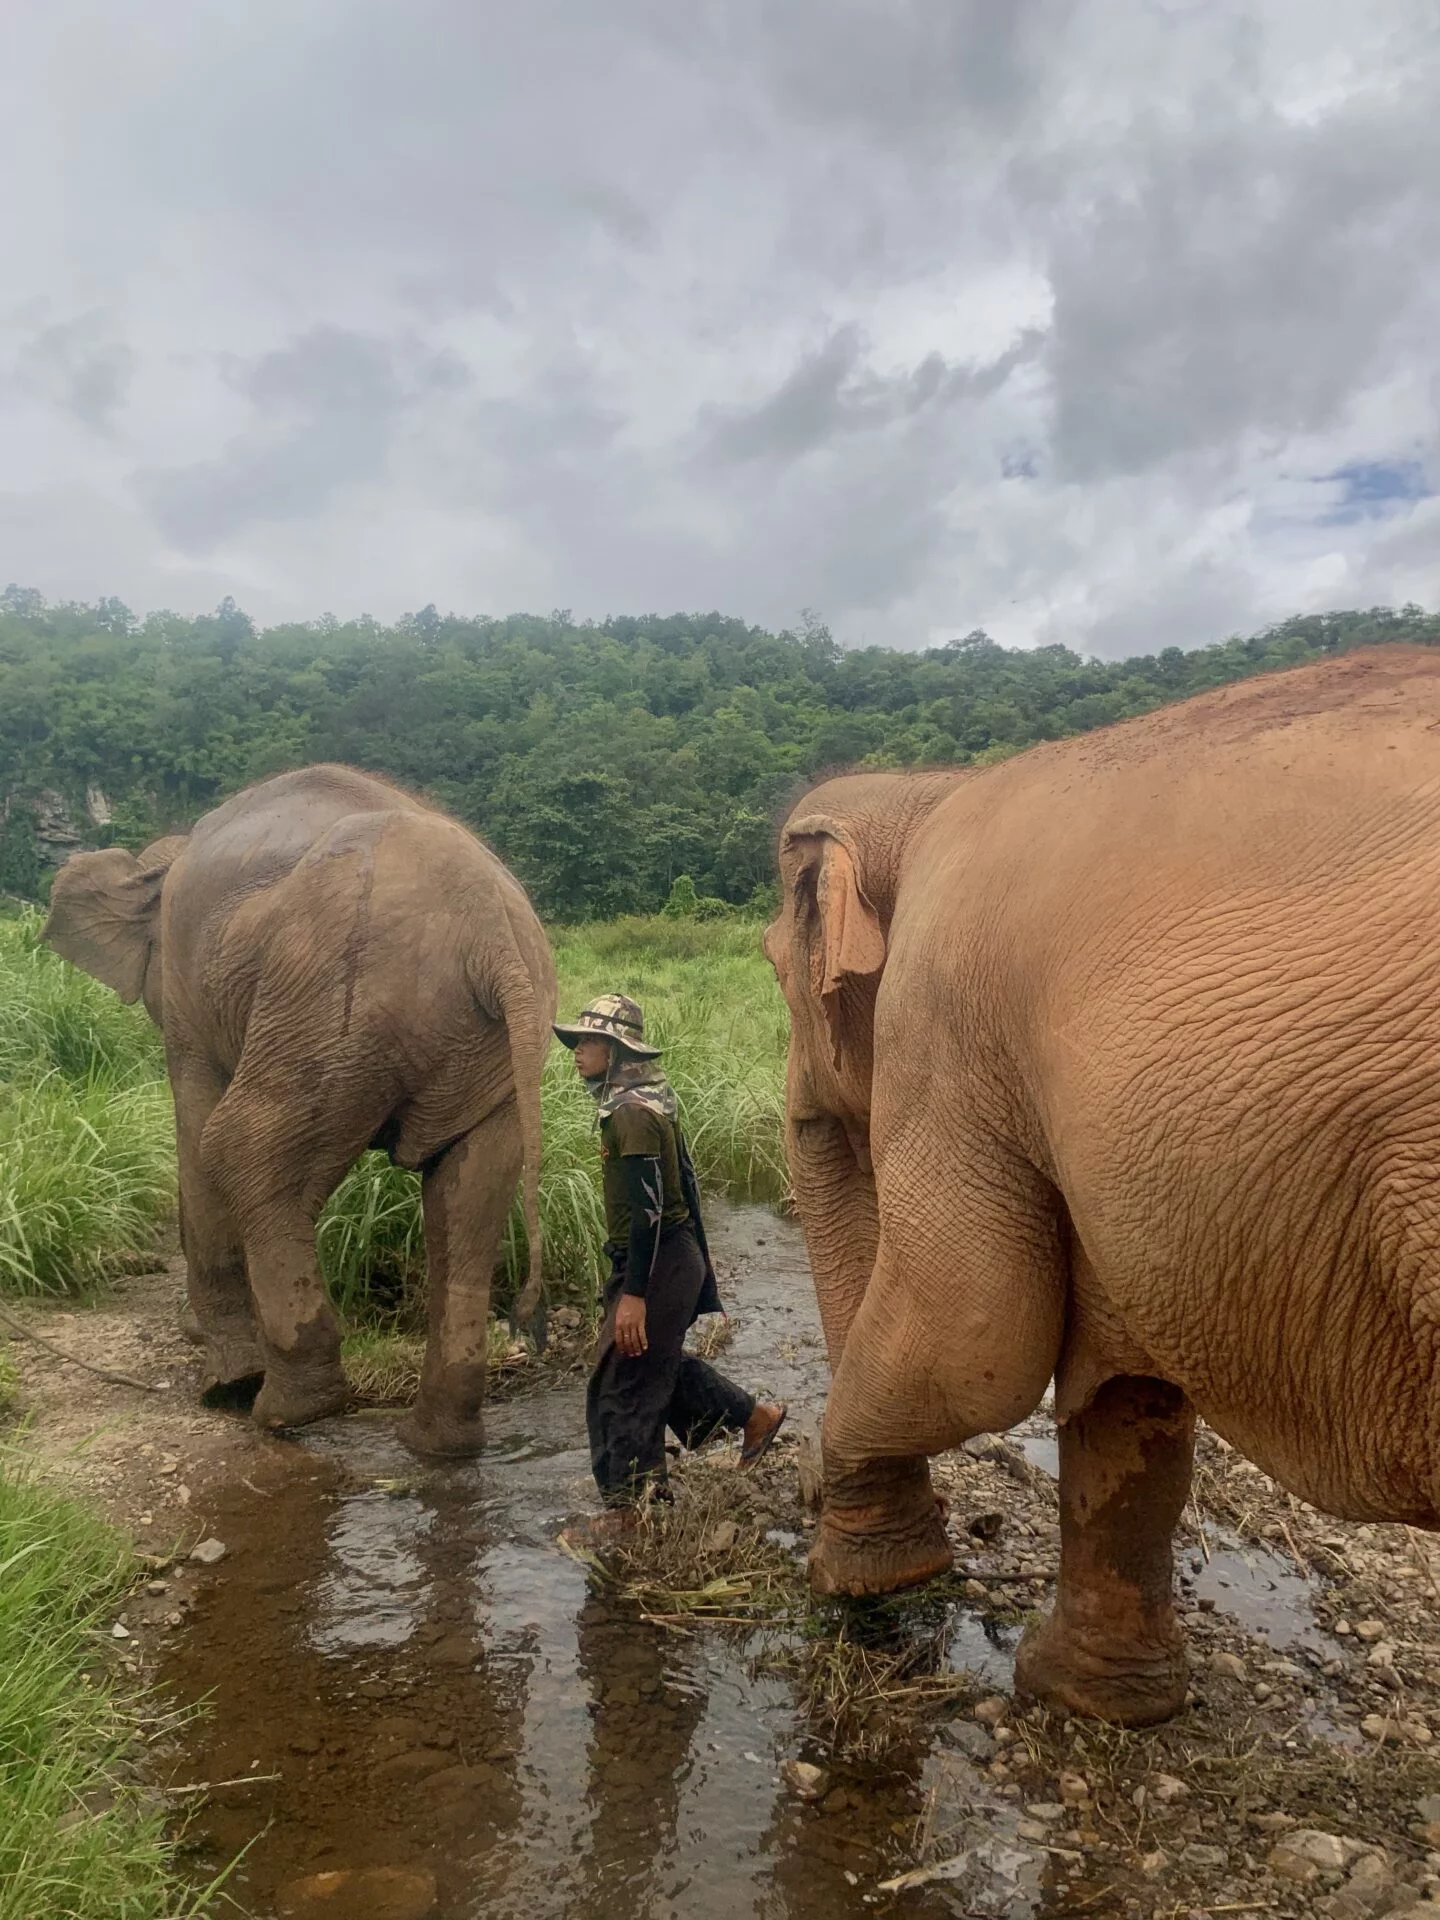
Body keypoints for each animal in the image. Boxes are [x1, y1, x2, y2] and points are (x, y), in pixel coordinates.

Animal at [43, 763, 556, 1458]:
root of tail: (489, 937)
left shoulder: (184, 996)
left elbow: (196, 1128)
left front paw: (223, 1381)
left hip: (332, 999)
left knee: (238, 1144)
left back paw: (287, 1411)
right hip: (487, 1051)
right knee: (470, 1186)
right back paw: (434, 1445)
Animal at [764, 643, 1440, 1725]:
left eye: (777, 971)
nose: (798, 1460)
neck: (927, 790)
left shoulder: (943, 1023)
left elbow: (970, 1333)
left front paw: (853, 1561)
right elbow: (1126, 1390)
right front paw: (1091, 1702)